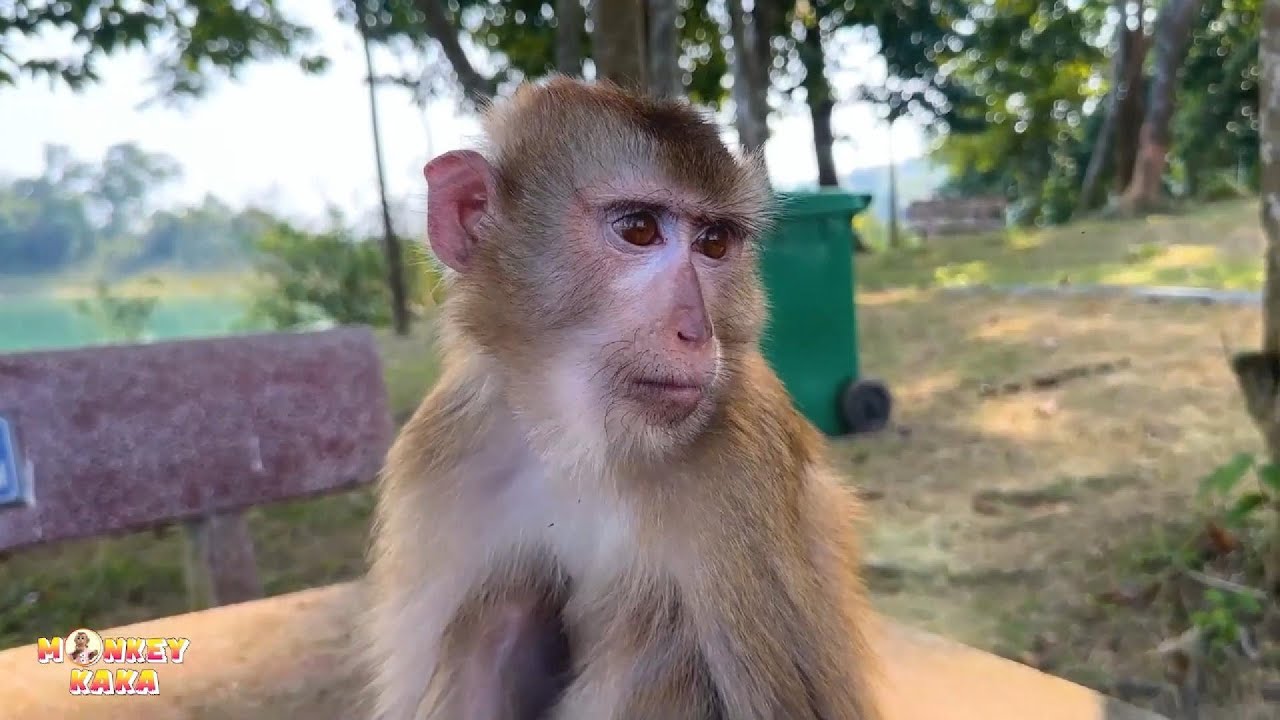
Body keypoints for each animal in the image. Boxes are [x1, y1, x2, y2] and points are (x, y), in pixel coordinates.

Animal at [362, 76, 882, 720]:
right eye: (638, 229)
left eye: (714, 242)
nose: (697, 331)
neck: (581, 444)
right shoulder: (442, 458)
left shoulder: (744, 467)